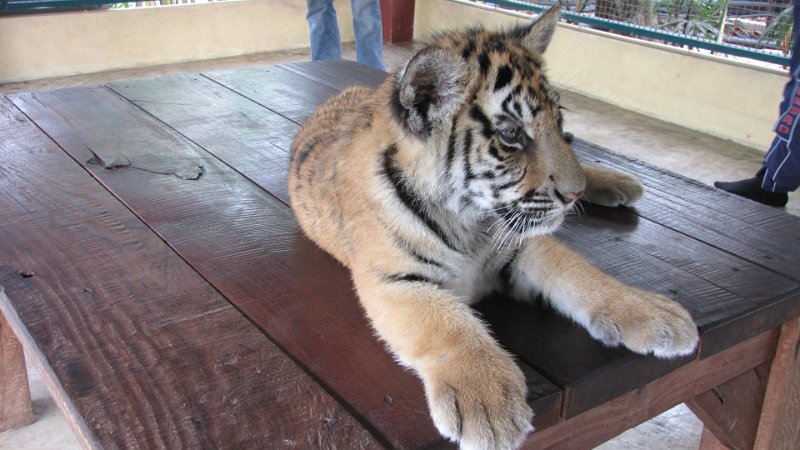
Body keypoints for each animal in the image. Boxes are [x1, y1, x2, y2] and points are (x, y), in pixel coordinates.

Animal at [288, 7, 698, 449]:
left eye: (559, 121)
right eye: (511, 134)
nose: (572, 195)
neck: (469, 216)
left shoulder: (522, 245)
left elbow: (580, 274)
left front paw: (654, 314)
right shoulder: (394, 277)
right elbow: (444, 322)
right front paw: (487, 404)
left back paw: (619, 183)